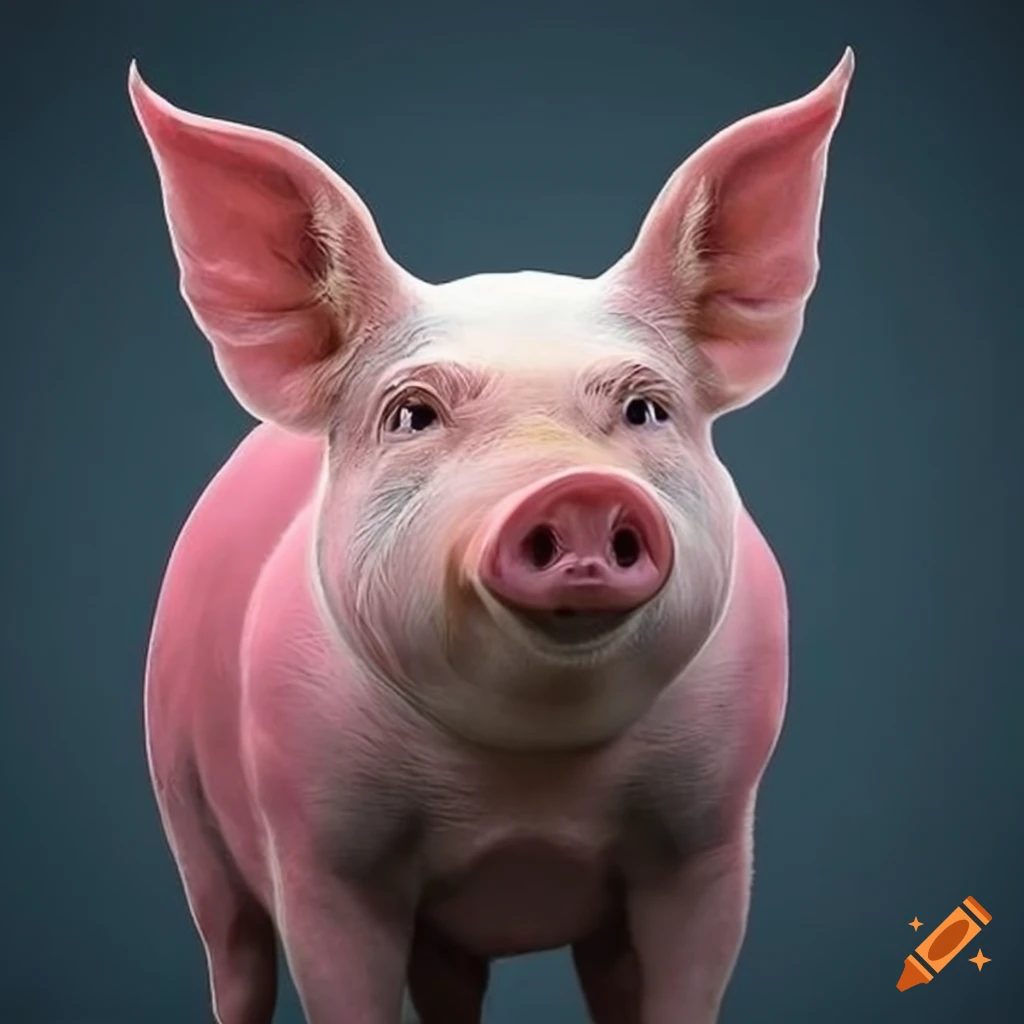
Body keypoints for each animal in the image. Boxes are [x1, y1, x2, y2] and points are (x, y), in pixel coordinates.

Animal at [132, 48, 853, 1024]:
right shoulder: (321, 851)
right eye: (412, 412)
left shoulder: (708, 834)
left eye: (646, 408)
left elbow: (683, 980)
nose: (577, 489)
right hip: (182, 795)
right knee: (233, 950)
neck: (525, 785)